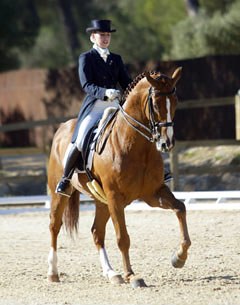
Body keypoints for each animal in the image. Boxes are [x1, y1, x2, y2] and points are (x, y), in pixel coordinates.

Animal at [47, 65, 191, 286]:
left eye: (175, 101)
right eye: (155, 104)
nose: (166, 143)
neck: (136, 146)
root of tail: (62, 128)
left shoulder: (153, 193)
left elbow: (180, 208)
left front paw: (179, 257)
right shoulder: (115, 197)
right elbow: (123, 237)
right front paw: (131, 275)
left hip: (102, 200)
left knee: (97, 232)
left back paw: (111, 273)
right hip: (60, 193)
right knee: (55, 226)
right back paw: (53, 273)